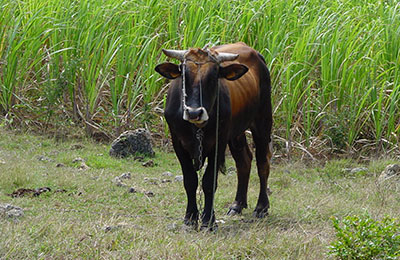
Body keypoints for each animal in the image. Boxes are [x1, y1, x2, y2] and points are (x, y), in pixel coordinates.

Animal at [155, 41, 272, 231]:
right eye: (184, 75)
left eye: (213, 77)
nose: (194, 112)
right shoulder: (178, 143)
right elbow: (190, 180)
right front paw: (190, 217)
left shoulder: (218, 143)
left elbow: (209, 182)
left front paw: (208, 220)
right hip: (236, 133)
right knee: (244, 161)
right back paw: (237, 204)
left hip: (262, 121)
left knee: (263, 163)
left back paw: (262, 207)